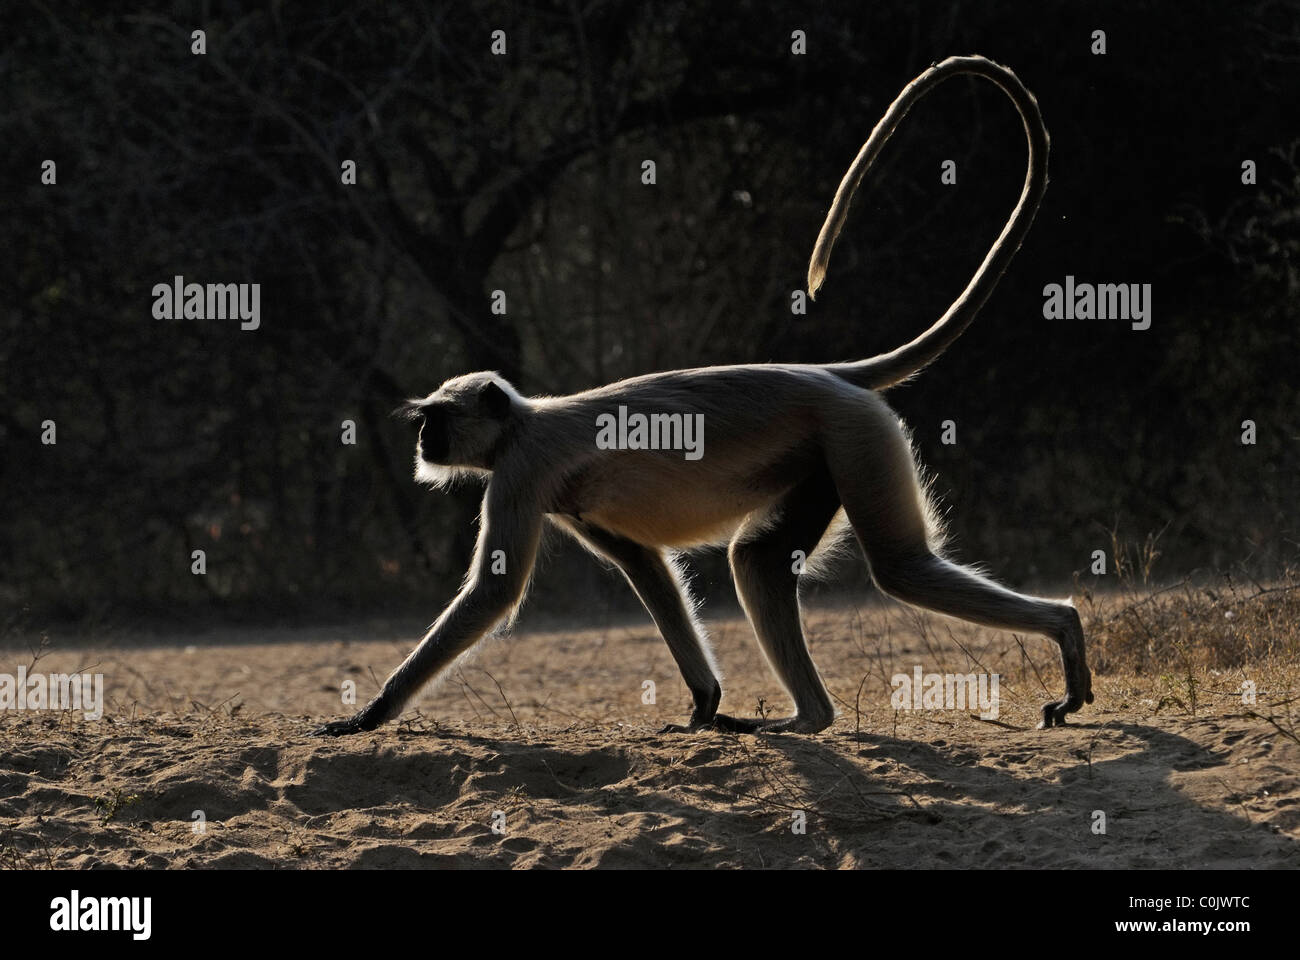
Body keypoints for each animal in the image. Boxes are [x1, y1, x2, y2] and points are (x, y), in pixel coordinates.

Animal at [317, 54, 1097, 733]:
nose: (425, 441)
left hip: (855, 434)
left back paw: (1053, 629)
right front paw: (704, 703)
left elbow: (492, 596)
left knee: (899, 568)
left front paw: (369, 715)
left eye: (438, 420)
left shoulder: (520, 473)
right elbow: (645, 568)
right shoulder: (560, 498)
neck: (523, 422)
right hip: (826, 453)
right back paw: (814, 715)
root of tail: (832, 375)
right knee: (757, 560)